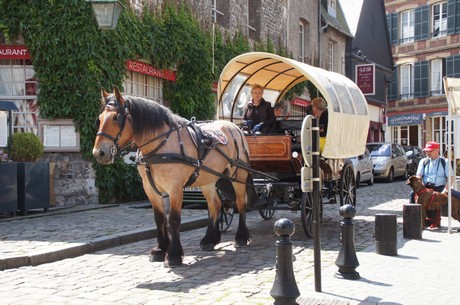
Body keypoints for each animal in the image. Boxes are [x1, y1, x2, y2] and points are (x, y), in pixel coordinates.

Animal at [92, 85, 258, 266]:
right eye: (100, 118)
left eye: (116, 118)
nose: (99, 153)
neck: (160, 145)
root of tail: (235, 128)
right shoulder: (150, 188)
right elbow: (160, 218)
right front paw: (160, 249)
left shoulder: (175, 188)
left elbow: (173, 219)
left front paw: (173, 254)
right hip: (208, 179)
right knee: (215, 205)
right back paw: (209, 240)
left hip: (239, 175)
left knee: (241, 203)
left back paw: (241, 236)